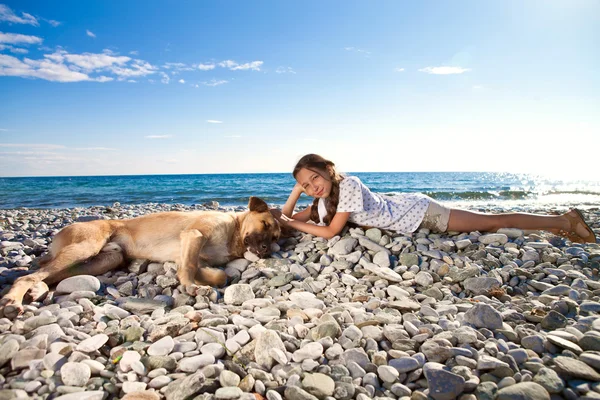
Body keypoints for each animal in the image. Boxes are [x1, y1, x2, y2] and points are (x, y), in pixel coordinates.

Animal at [0, 196, 282, 318]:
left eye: (276, 237)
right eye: (266, 225)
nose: (267, 250)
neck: (234, 232)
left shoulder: (195, 251)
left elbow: (214, 273)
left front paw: (207, 280)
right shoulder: (194, 235)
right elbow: (190, 266)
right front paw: (192, 286)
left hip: (103, 261)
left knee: (49, 275)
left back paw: (37, 291)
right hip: (84, 247)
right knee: (29, 275)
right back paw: (14, 299)